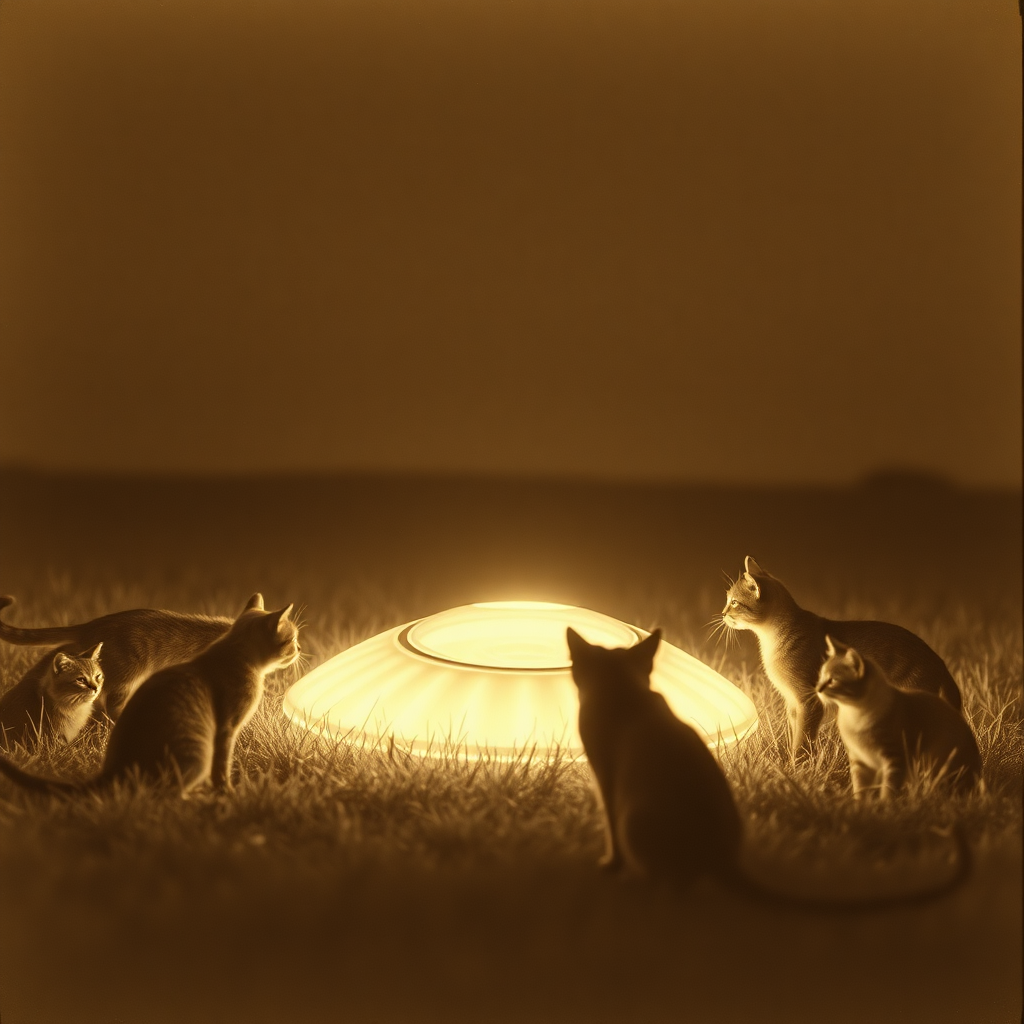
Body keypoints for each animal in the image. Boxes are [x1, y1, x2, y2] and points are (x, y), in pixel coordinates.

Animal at [716, 552, 962, 761]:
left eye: (734, 602)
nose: (723, 613)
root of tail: (938, 661)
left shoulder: (809, 701)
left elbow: (802, 741)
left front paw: (797, 768)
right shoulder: (794, 703)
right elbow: (795, 735)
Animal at [815, 634, 983, 794]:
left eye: (833, 680)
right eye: (821, 675)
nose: (816, 689)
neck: (854, 714)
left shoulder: (895, 756)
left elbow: (888, 787)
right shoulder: (859, 760)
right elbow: (860, 787)